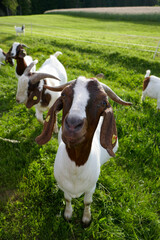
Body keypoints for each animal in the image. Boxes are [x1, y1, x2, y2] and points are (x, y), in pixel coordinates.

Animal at [35, 76, 132, 226]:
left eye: (103, 102)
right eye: (64, 95)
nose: (72, 124)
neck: (76, 167)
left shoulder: (91, 188)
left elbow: (87, 202)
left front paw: (86, 219)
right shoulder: (64, 187)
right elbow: (67, 199)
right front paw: (68, 214)